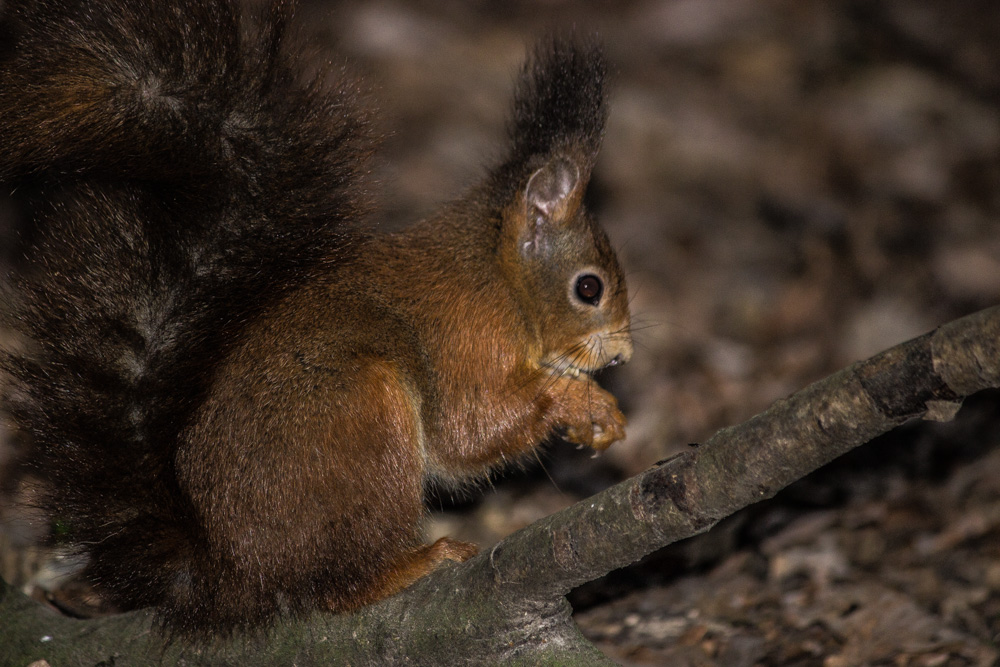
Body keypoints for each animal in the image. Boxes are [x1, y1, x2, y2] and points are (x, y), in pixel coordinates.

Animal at [0, 0, 632, 640]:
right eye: (589, 288)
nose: (622, 354)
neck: (499, 275)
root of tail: (230, 573)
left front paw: (599, 414)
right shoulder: (470, 334)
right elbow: (468, 430)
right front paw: (576, 400)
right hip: (361, 420)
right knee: (336, 588)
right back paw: (412, 565)